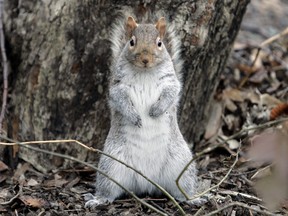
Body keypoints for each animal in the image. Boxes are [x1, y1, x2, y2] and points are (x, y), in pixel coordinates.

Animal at [84, 15, 198, 208]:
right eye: (131, 42)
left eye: (159, 43)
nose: (145, 59)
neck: (145, 72)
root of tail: (147, 182)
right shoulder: (118, 85)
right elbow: (120, 98)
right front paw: (134, 116)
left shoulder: (170, 82)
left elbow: (172, 92)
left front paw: (156, 110)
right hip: (111, 165)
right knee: (108, 189)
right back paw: (98, 199)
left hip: (181, 164)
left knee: (183, 188)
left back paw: (193, 198)